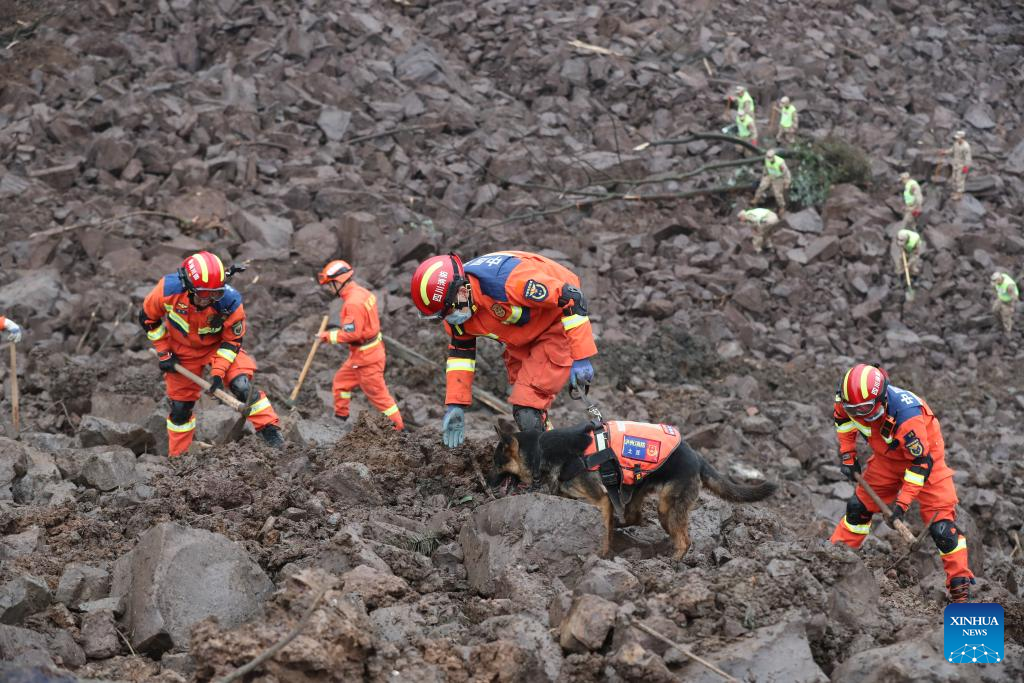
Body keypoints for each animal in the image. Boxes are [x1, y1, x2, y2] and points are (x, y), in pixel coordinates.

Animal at [493, 421, 774, 561]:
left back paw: (673, 562)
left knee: (684, 539)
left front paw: (602, 555)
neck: (541, 449)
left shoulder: (601, 500)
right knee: (635, 517)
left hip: (668, 506)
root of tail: (697, 457)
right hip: (639, 494)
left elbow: (603, 532)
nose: (487, 483)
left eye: (495, 465)